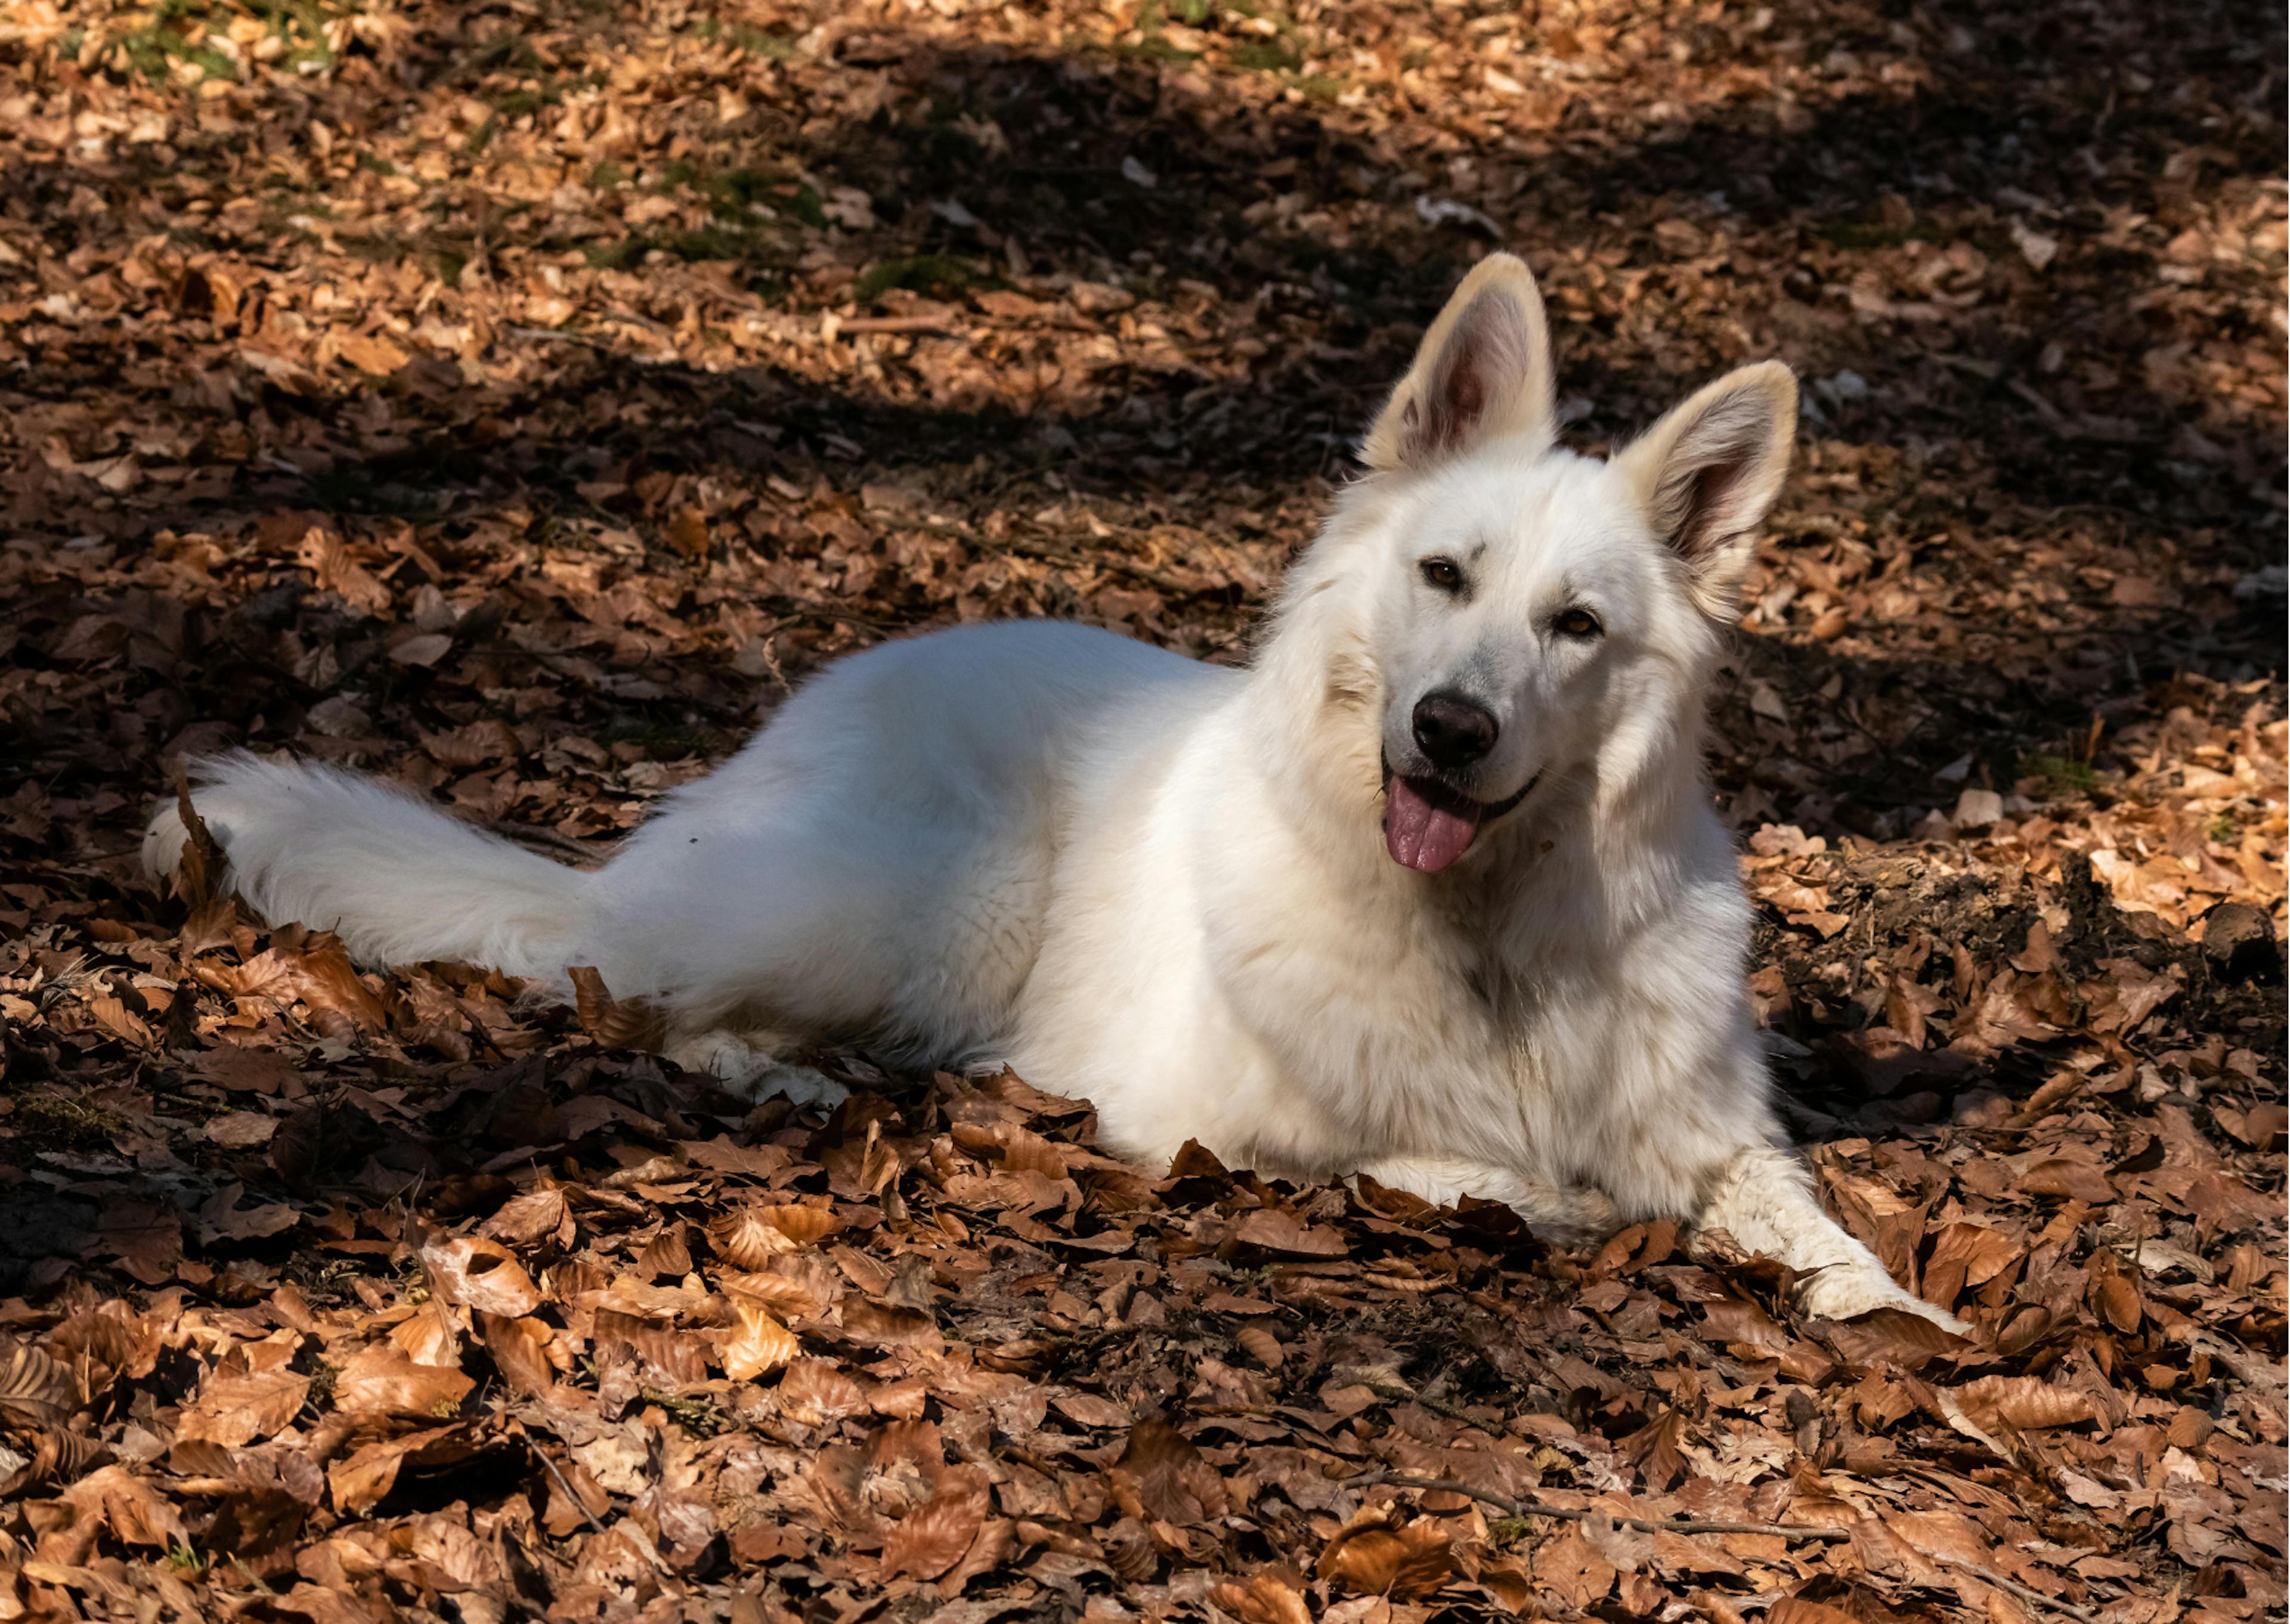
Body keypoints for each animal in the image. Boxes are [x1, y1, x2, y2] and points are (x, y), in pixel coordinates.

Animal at [147, 249, 1969, 1319]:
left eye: (1575, 626)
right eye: (1444, 576)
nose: (1450, 729)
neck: (1488, 941)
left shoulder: (1716, 1137)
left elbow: (1815, 1227)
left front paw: (1900, 1324)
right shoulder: (1198, 1117)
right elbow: (1425, 1162)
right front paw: (1538, 1198)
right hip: (912, 914)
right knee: (627, 986)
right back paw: (792, 1073)